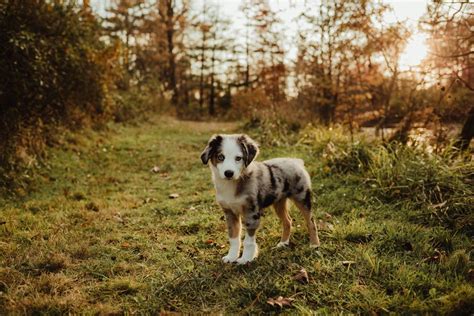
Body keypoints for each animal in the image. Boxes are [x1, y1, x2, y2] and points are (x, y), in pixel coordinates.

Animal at [200, 133, 318, 264]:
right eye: (220, 157)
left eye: (238, 158)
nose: (228, 173)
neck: (233, 184)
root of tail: (296, 161)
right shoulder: (230, 212)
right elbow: (234, 238)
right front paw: (231, 257)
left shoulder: (252, 212)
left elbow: (248, 241)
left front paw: (245, 259)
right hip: (278, 203)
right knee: (288, 221)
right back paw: (283, 243)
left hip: (302, 197)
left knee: (311, 221)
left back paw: (314, 245)